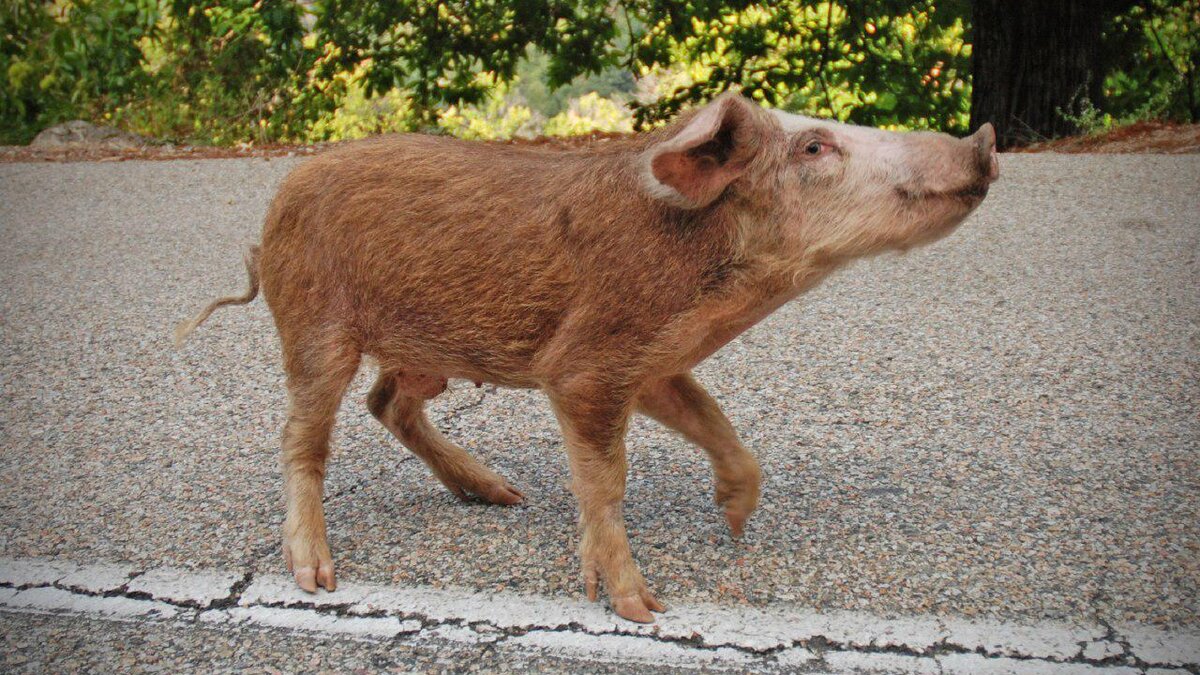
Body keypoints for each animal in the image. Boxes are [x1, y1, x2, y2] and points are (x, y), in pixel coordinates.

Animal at [177, 93, 998, 619]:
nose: (983, 140)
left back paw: (501, 495)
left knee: (389, 402)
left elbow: (721, 426)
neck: (719, 285)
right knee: (302, 435)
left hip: (427, 349)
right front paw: (642, 609)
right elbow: (605, 479)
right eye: (815, 145)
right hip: (315, 323)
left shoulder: (656, 362)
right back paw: (316, 576)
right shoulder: (586, 366)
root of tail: (277, 202)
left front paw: (733, 521)